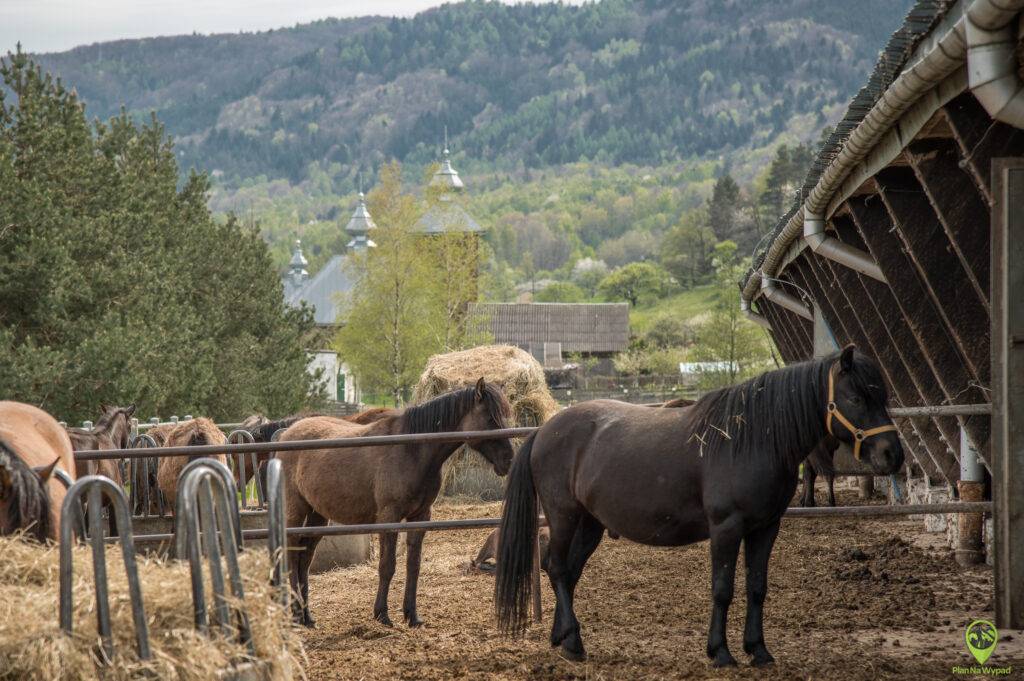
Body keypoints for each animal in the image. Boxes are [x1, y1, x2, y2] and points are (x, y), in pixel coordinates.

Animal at [278, 378, 512, 622]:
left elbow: (413, 565)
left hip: (317, 516)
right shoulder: (389, 517)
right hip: (296, 511)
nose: (509, 460)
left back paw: (307, 617)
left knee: (304, 559)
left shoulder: (420, 516)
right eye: (491, 418)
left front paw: (412, 615)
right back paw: (296, 614)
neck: (412, 449)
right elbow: (387, 565)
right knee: (292, 554)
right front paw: (382, 614)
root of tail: (286, 434)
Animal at [495, 348, 905, 667]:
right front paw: (720, 652)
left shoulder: (765, 528)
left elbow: (757, 587)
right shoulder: (726, 528)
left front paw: (758, 651)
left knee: (567, 572)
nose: (893, 455)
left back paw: (563, 639)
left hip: (590, 523)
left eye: (882, 396)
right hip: (564, 517)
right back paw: (574, 641)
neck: (750, 439)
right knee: (558, 568)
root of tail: (543, 431)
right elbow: (722, 588)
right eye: (856, 399)